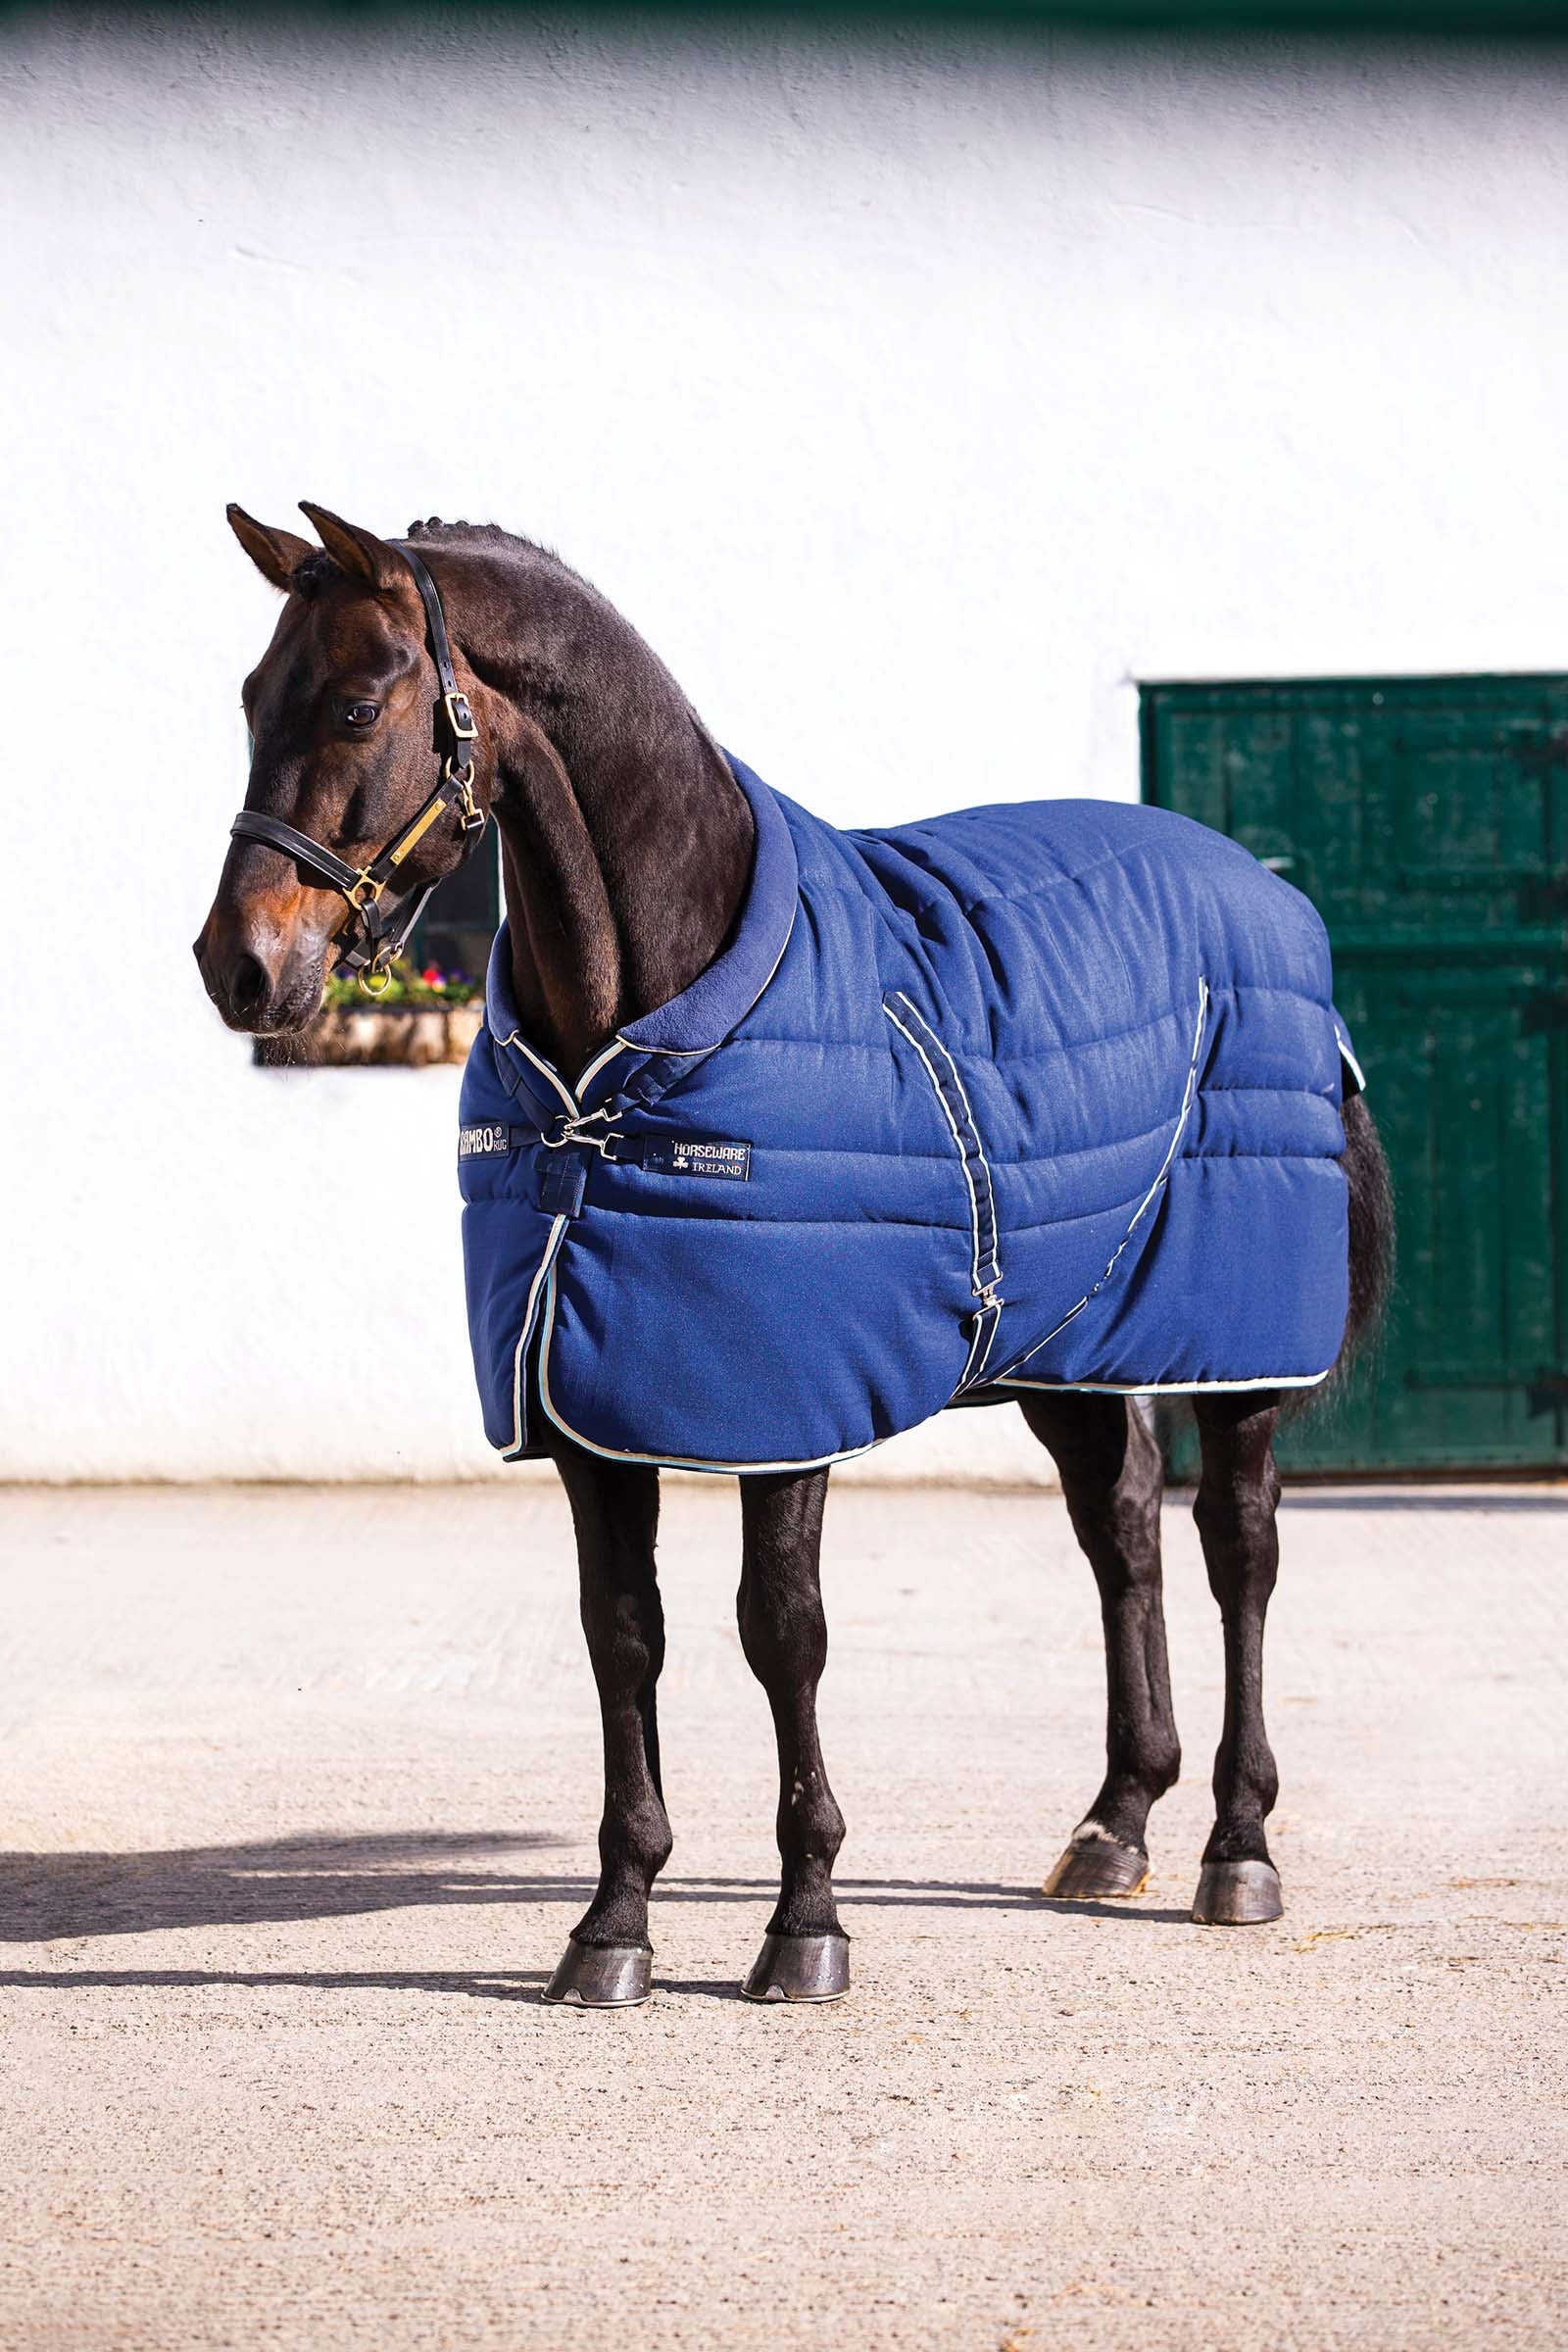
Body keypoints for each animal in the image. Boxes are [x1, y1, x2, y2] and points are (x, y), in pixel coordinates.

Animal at [196, 503, 1393, 2007]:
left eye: (359, 704)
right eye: (250, 699)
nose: (238, 968)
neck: (639, 1032)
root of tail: (1270, 905)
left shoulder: (784, 1400)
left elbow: (783, 1631)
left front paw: (805, 1919)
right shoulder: (588, 1403)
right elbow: (622, 1634)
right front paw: (613, 1926)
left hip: (1232, 1352)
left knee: (1239, 1550)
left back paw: (1237, 1847)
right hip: (1073, 1340)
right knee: (1120, 1529)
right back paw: (1116, 1824)